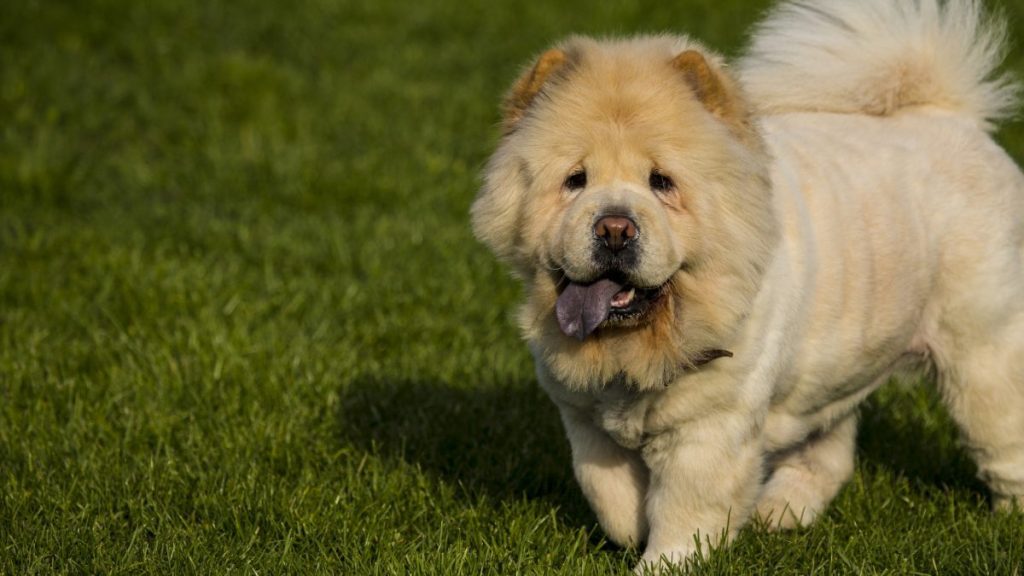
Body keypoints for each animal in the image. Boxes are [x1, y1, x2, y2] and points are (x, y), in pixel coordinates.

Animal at [471, 0, 1024, 565]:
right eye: (575, 180)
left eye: (661, 182)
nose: (615, 228)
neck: (638, 344)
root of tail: (949, 115)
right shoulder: (583, 418)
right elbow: (611, 497)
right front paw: (631, 533)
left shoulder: (709, 428)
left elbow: (683, 513)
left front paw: (664, 562)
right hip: (837, 365)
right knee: (827, 445)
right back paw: (781, 510)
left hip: (981, 350)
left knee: (1002, 434)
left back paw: (1008, 519)